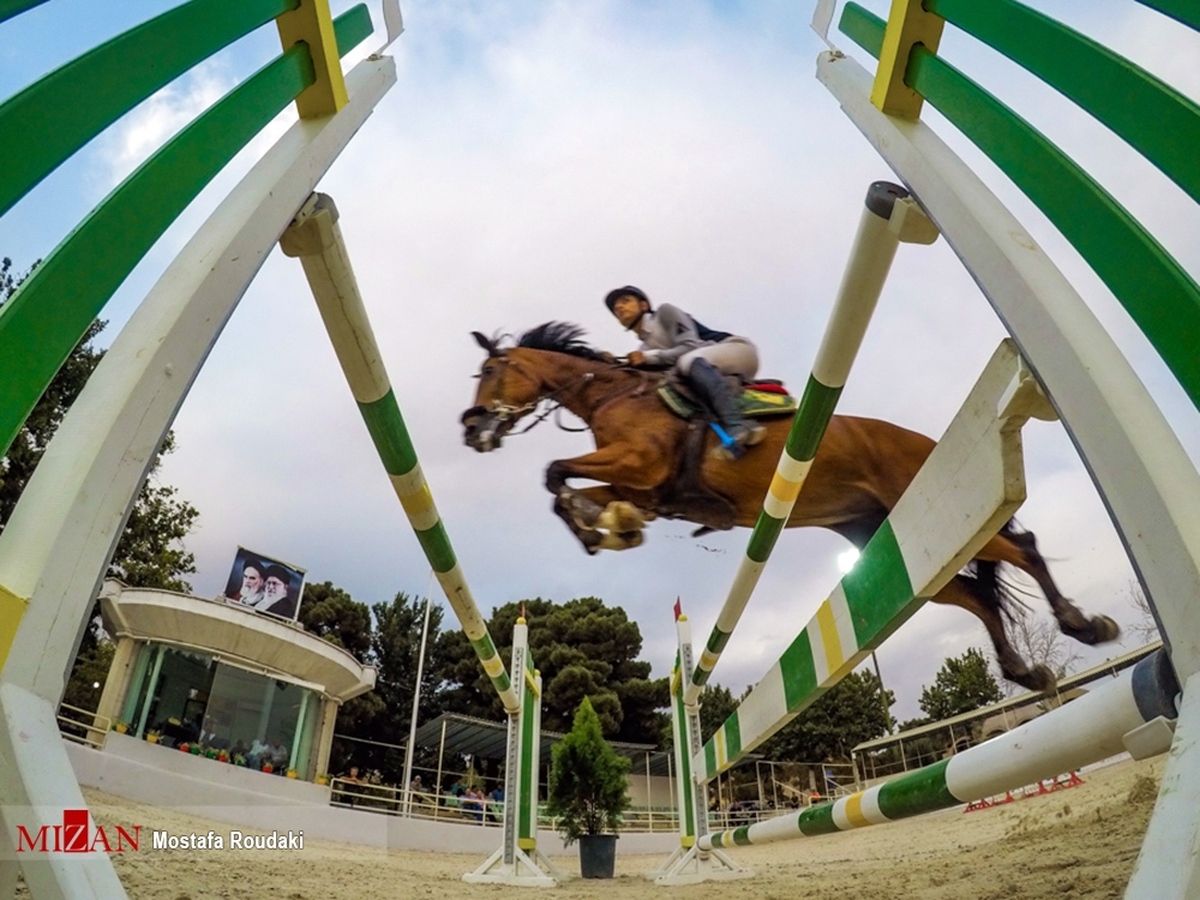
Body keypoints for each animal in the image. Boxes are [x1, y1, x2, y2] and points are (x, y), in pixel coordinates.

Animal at [463, 324, 1118, 691]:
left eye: (491, 369)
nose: (471, 429)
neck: (611, 395)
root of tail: (925, 442)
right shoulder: (643, 484)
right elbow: (565, 487)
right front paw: (607, 526)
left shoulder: (639, 464)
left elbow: (554, 472)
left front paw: (601, 527)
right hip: (892, 539)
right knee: (976, 596)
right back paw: (1023, 671)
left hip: (946, 512)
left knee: (1023, 549)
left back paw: (1083, 624)